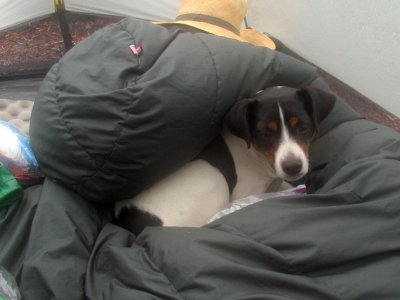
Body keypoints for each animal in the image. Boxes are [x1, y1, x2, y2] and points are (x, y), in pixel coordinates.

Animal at [115, 85, 334, 234]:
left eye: (303, 127)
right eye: (265, 134)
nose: (293, 167)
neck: (257, 156)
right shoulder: (244, 194)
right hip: (215, 179)